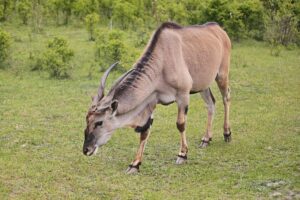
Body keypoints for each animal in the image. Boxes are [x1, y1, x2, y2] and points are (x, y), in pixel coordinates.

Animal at [82, 22, 232, 173]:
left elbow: (180, 124)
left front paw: (182, 155)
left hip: (222, 75)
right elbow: (145, 131)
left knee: (226, 98)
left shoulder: (183, 95)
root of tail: (218, 28)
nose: (86, 149)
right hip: (203, 86)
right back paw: (206, 139)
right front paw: (134, 164)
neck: (162, 61)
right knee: (211, 104)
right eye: (87, 121)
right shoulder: (152, 100)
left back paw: (227, 133)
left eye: (99, 122)